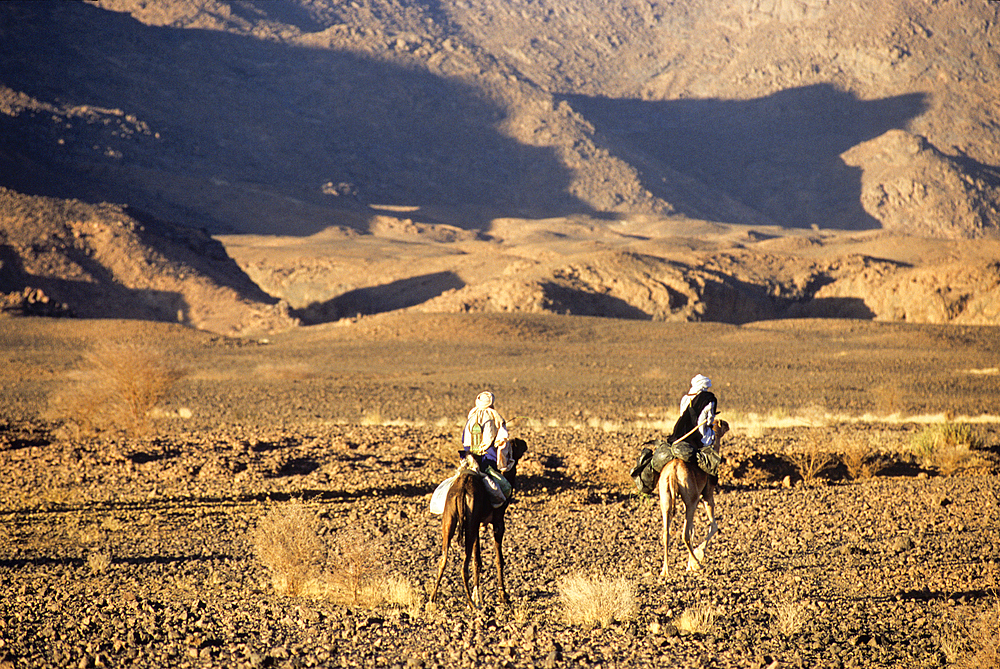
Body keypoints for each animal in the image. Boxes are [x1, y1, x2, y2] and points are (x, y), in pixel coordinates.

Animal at [428, 436, 528, 608]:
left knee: (443, 558)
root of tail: (462, 490)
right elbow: (499, 559)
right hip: (469, 524)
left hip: (452, 521)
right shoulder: (498, 522)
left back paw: (433, 599)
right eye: (517, 444)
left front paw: (479, 596)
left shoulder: (478, 524)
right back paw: (470, 603)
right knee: (463, 565)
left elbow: (478, 561)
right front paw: (503, 596)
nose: (526, 444)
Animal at [660, 418, 732, 576]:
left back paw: (665, 571)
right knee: (685, 534)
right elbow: (714, 525)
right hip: (691, 500)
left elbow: (694, 529)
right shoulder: (707, 495)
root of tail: (673, 471)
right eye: (722, 423)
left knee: (666, 534)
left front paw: (689, 565)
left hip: (665, 499)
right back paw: (699, 564)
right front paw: (697, 557)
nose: (728, 424)